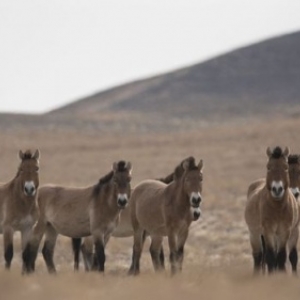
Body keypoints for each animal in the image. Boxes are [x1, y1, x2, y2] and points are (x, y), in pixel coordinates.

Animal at [245, 146, 298, 274]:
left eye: (285, 167)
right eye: (268, 167)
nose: (277, 189)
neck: (277, 208)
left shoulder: (285, 231)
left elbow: (282, 256)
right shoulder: (268, 231)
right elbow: (270, 257)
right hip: (254, 234)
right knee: (258, 256)